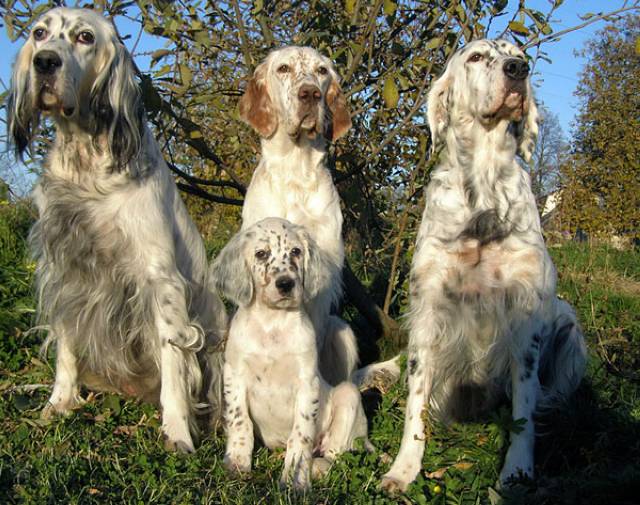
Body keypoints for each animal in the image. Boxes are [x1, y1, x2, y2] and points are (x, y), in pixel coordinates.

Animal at [6, 6, 228, 448]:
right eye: (39, 33)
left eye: (84, 37)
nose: (45, 63)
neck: (86, 165)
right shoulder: (64, 271)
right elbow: (66, 348)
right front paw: (58, 403)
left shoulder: (161, 281)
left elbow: (174, 365)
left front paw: (177, 433)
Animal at [211, 219, 370, 490]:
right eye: (261, 254)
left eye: (296, 251)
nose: (285, 283)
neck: (272, 323)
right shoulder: (234, 374)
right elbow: (240, 421)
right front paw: (237, 464)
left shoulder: (307, 381)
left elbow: (301, 434)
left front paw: (295, 479)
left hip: (348, 395)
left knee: (335, 454)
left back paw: (317, 467)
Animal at [382, 40, 588, 492]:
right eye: (476, 57)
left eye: (519, 54)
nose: (518, 70)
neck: (482, 196)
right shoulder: (428, 311)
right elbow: (415, 400)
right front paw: (404, 468)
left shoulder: (526, 318)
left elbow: (523, 411)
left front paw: (517, 470)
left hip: (567, 321)